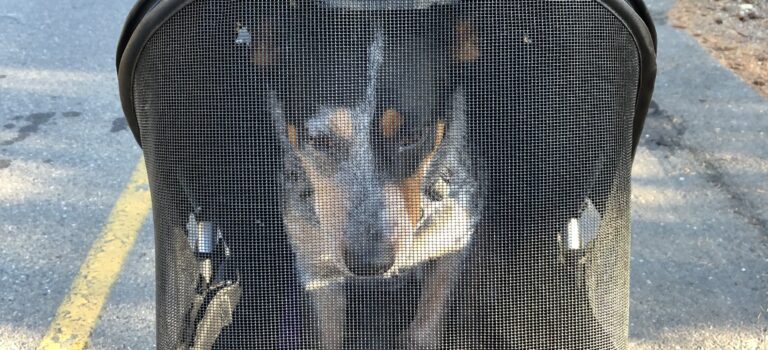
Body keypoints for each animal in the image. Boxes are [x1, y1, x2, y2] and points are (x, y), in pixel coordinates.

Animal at [268, 9, 476, 348]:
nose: (370, 263)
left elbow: (429, 318)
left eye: (413, 136)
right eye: (320, 139)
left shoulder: (454, 237)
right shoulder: (314, 268)